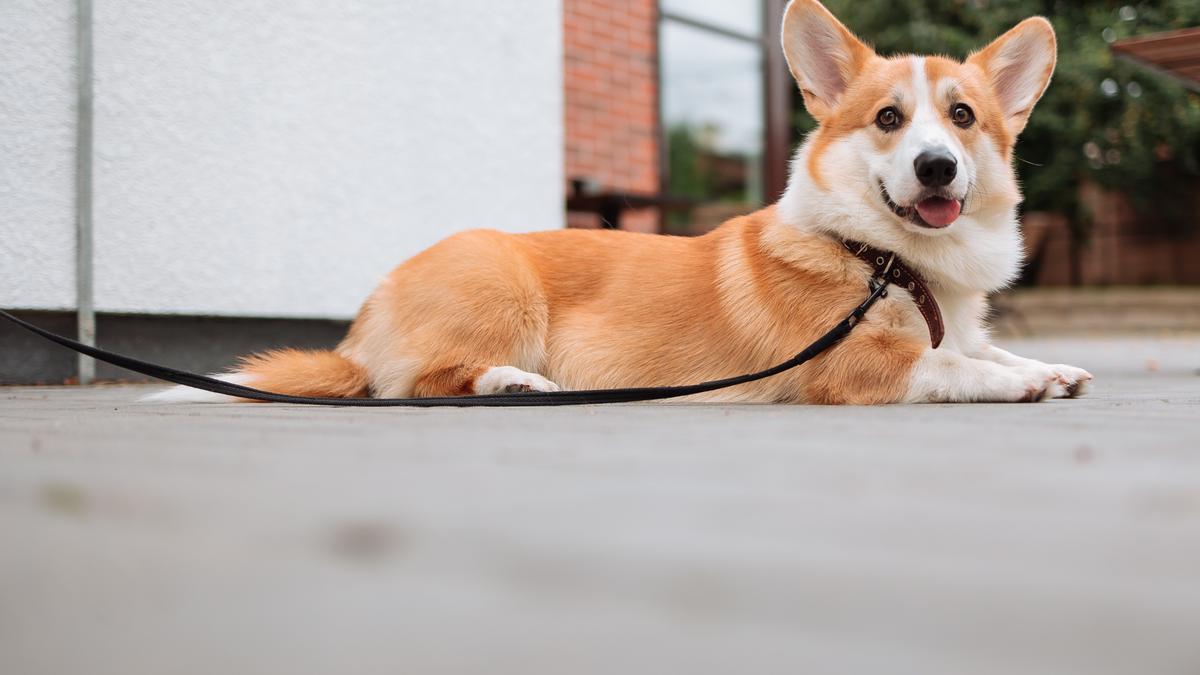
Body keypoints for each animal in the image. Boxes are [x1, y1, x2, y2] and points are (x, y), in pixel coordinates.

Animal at [147, 1, 1089, 403]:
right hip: (497, 286)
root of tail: (365, 313)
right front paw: (1027, 380)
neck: (883, 256)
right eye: (889, 119)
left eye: (962, 118)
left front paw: (1049, 363)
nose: (936, 168)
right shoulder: (850, 366)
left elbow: (980, 348)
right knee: (414, 381)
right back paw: (514, 383)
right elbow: (955, 366)